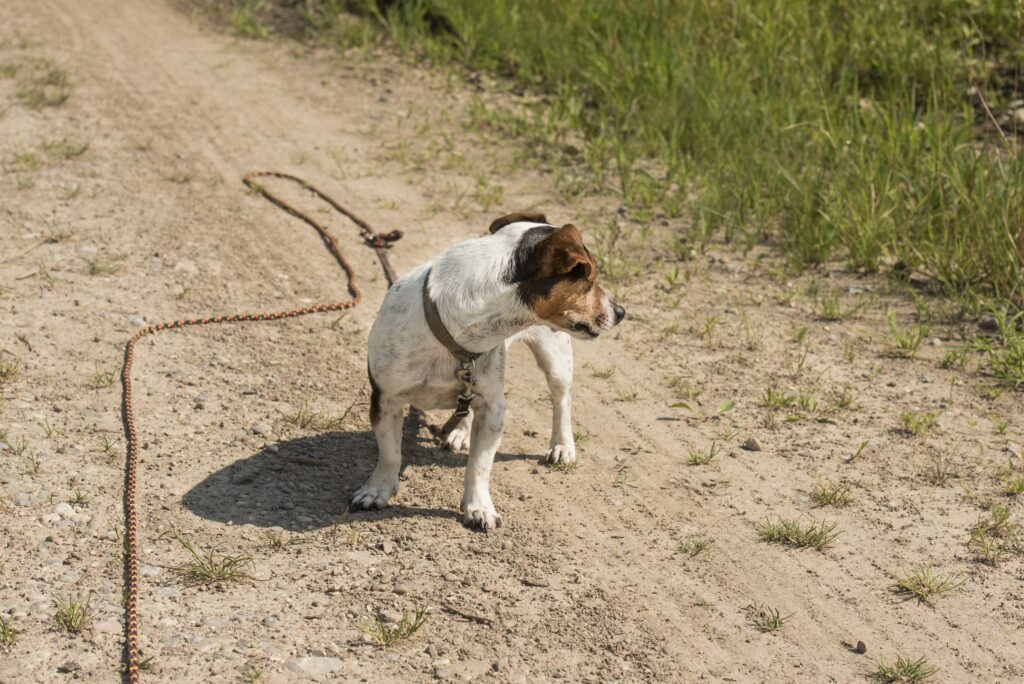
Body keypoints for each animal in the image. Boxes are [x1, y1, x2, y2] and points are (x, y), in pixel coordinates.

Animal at [350, 211, 622, 528]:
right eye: (590, 279)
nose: (621, 312)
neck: (458, 331)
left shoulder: (493, 410)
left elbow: (479, 466)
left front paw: (478, 507)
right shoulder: (385, 399)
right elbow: (390, 454)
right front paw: (377, 491)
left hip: (555, 358)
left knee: (561, 400)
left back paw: (562, 445)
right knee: (465, 405)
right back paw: (461, 432)